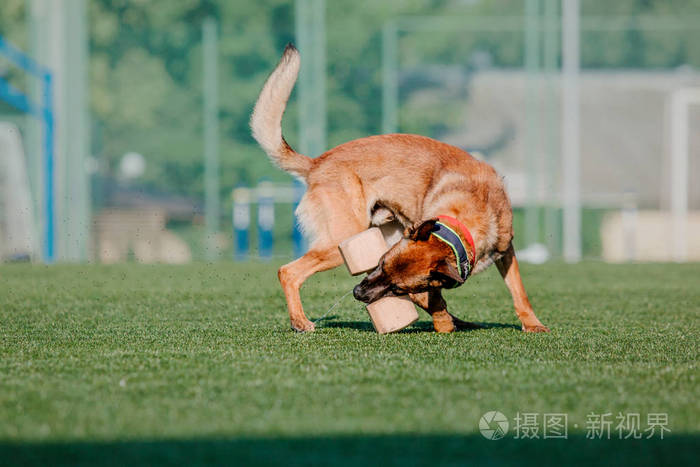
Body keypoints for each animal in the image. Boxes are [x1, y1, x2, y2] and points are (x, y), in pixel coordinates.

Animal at [249, 44, 548, 336]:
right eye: (382, 265)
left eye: (396, 287)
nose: (357, 293)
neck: (466, 219)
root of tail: (316, 163)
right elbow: (433, 299)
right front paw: (444, 324)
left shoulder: (505, 250)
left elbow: (519, 292)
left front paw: (532, 324)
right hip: (341, 242)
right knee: (287, 272)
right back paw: (299, 321)